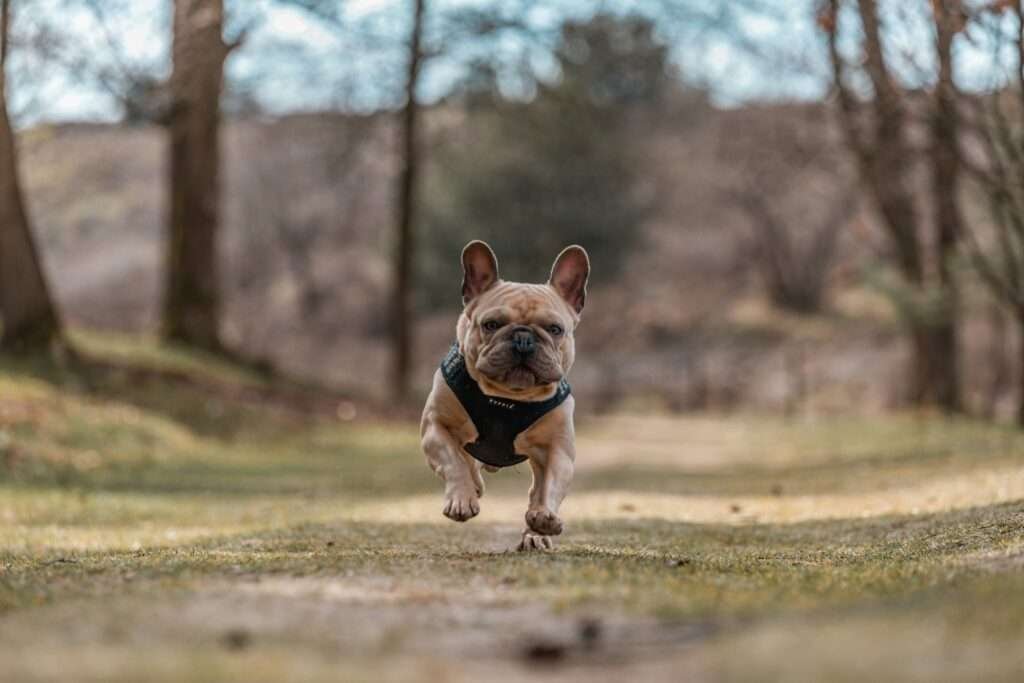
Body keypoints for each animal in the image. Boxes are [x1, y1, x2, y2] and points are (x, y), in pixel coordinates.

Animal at [417, 240, 593, 548]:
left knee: (535, 490)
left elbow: (550, 486)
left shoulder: (557, 449)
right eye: (491, 325)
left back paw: (535, 534)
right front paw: (461, 499)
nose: (523, 339)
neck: (509, 397)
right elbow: (453, 461)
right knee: (467, 463)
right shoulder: (435, 427)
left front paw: (544, 518)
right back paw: (473, 488)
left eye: (555, 329)